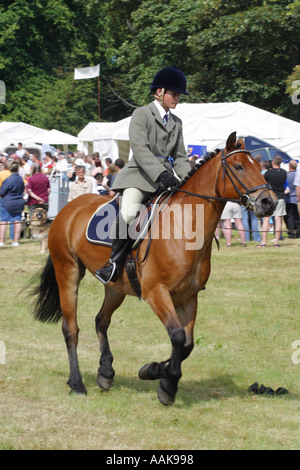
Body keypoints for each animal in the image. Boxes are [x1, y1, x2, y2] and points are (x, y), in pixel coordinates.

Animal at [32, 132, 276, 404]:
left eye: (259, 166)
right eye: (239, 167)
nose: (269, 202)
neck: (185, 227)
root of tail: (67, 209)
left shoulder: (188, 297)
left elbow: (187, 344)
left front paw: (154, 371)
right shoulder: (156, 292)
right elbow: (178, 336)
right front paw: (166, 384)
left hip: (115, 286)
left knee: (101, 320)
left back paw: (105, 372)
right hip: (68, 272)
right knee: (71, 328)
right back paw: (76, 383)